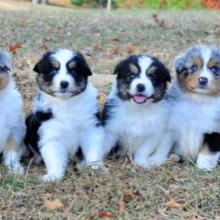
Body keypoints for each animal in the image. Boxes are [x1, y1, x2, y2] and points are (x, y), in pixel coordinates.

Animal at [24, 49, 105, 181]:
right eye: (53, 70)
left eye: (73, 71)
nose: (64, 83)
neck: (66, 103)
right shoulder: (50, 133)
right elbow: (54, 157)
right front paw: (54, 176)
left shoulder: (90, 127)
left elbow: (93, 149)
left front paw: (96, 167)